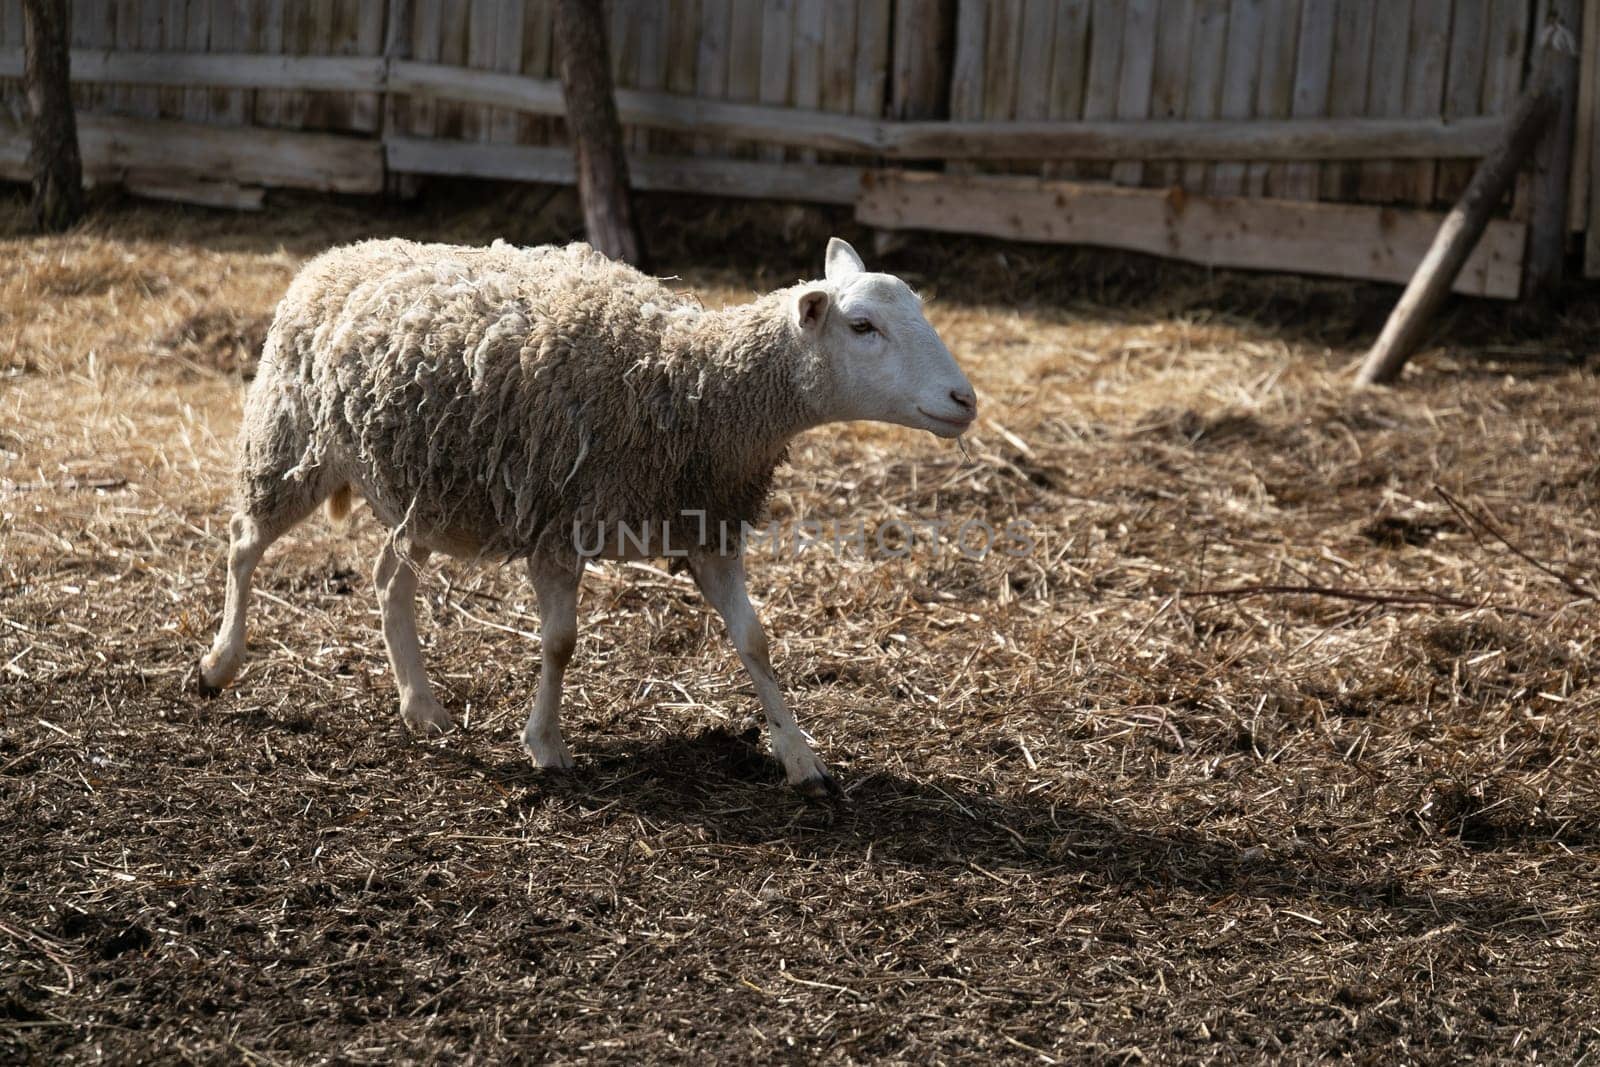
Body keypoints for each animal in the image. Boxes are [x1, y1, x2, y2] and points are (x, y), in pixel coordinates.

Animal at [200, 235, 972, 799]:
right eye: (863, 325)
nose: (964, 399)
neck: (694, 387)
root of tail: (337, 254)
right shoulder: (558, 527)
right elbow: (561, 642)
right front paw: (546, 745)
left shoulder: (708, 526)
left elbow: (755, 640)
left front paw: (800, 756)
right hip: (290, 440)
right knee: (244, 544)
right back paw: (217, 664)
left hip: (428, 490)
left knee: (391, 575)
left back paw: (421, 705)